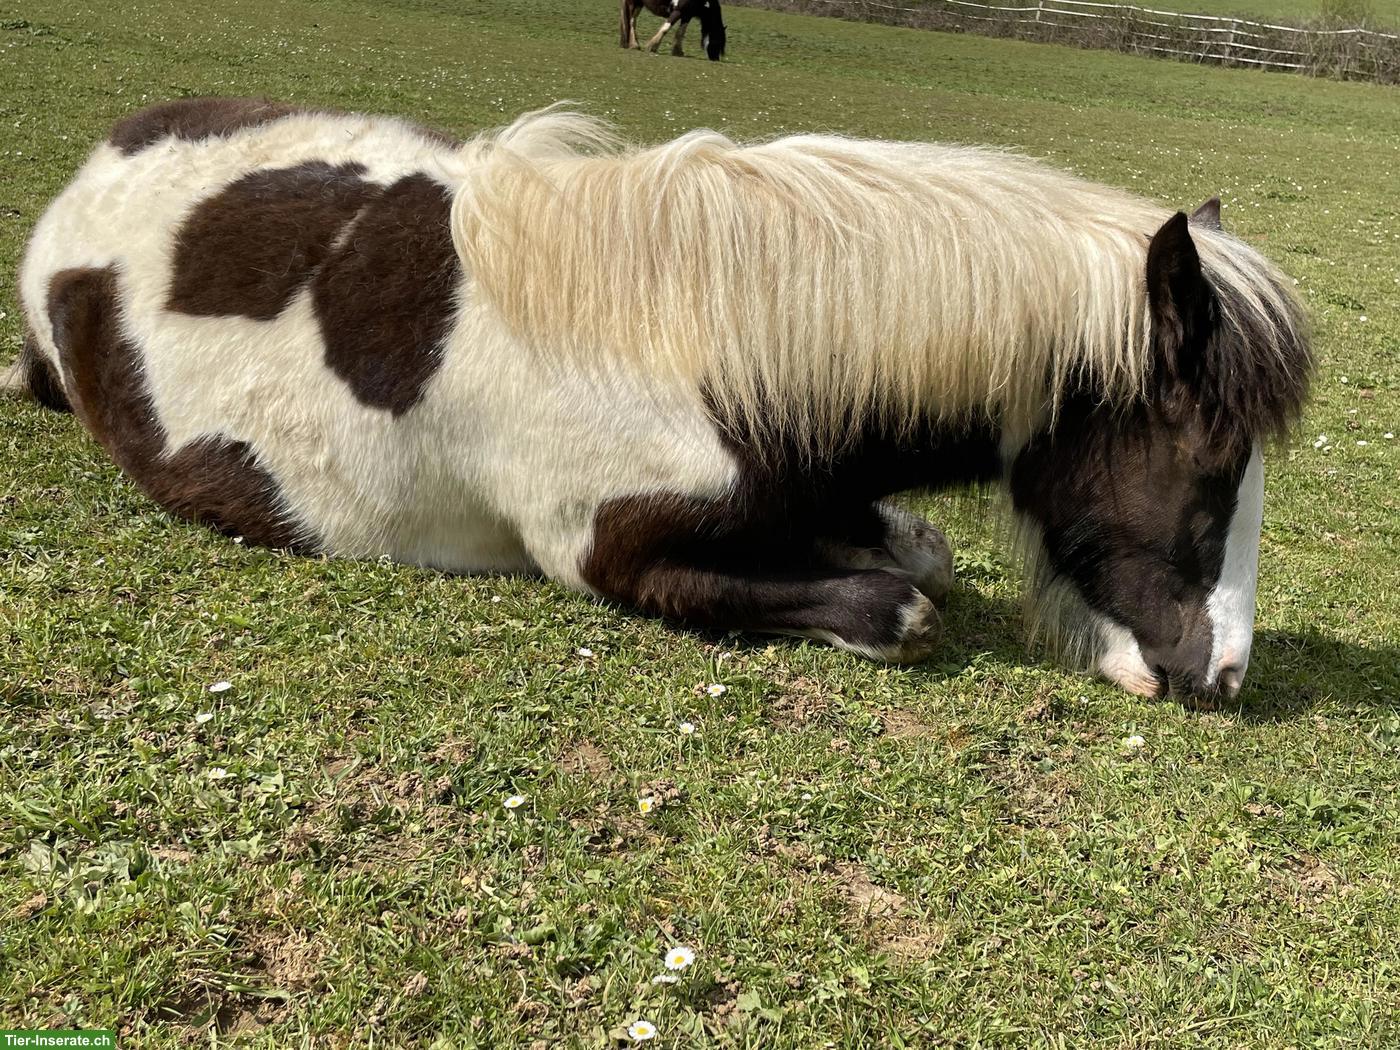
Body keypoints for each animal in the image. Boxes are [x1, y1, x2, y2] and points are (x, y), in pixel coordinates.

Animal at [12, 98, 1312, 702]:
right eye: (1207, 475)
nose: (1220, 677)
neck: (705, 340)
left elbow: (913, 553)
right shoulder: (608, 552)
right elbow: (899, 606)